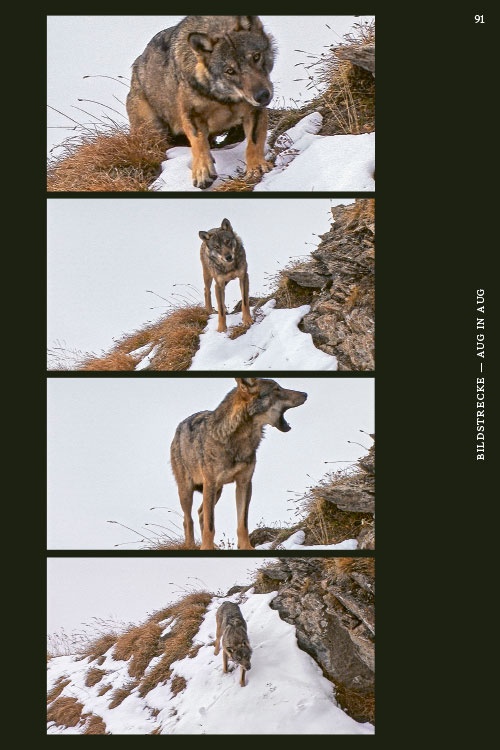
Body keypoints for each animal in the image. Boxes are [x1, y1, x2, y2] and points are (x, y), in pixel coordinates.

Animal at [126, 15, 276, 189]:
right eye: (230, 71)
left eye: (256, 57)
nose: (262, 95)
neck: (223, 98)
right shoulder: (192, 115)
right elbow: (199, 143)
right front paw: (202, 172)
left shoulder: (253, 110)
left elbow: (254, 141)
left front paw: (256, 167)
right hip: (154, 132)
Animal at [170, 378, 307, 550]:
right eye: (277, 389)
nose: (305, 394)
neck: (238, 441)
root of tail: (179, 427)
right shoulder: (210, 483)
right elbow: (210, 525)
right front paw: (206, 548)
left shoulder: (244, 483)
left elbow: (243, 523)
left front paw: (246, 547)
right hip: (188, 491)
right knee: (188, 519)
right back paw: (191, 546)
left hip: (217, 491)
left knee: (201, 513)